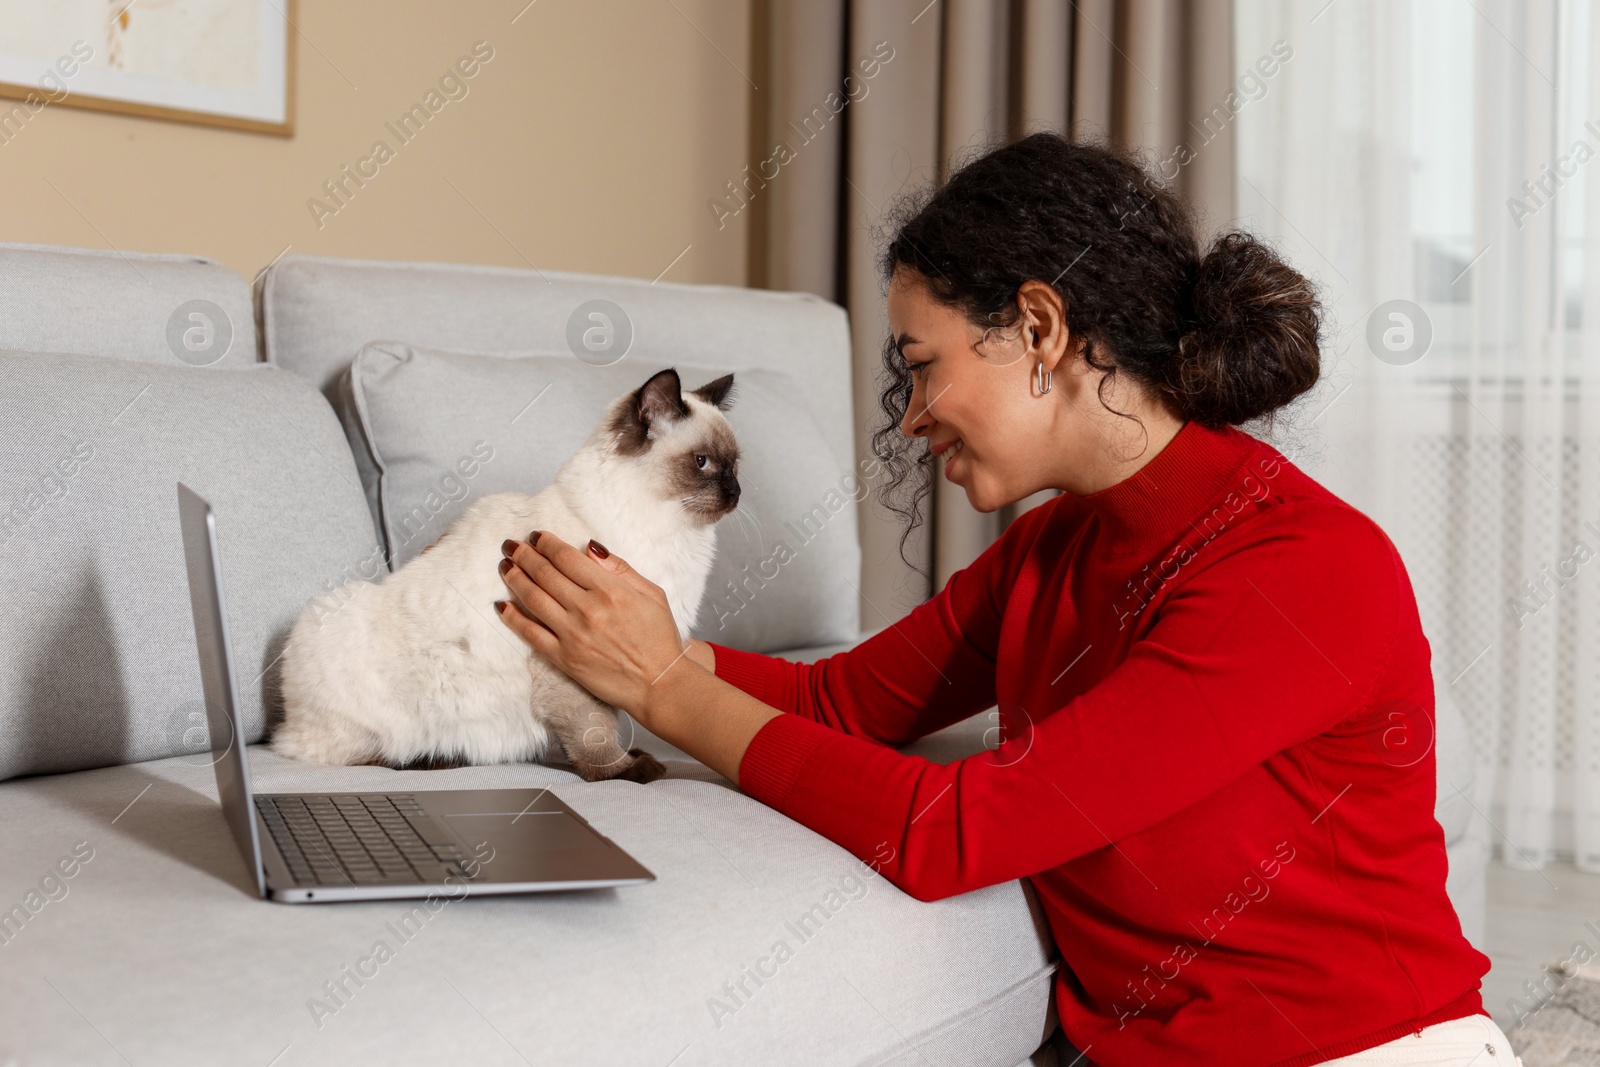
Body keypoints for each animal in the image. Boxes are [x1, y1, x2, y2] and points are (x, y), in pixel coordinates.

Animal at [273, 369, 742, 783]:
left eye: (736, 466)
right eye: (702, 463)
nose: (736, 493)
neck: (672, 535)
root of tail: (285, 725)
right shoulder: (568, 663)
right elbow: (594, 731)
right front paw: (622, 771)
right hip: (330, 619)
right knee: (356, 753)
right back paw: (431, 757)